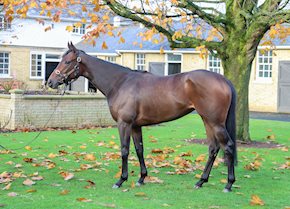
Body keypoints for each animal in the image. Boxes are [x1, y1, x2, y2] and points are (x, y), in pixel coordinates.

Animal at [47, 42, 237, 193]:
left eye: (67, 61)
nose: (50, 82)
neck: (120, 82)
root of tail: (223, 80)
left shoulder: (124, 124)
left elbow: (124, 150)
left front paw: (121, 180)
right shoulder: (136, 126)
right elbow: (139, 149)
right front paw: (141, 178)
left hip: (215, 123)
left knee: (227, 146)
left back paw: (228, 184)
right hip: (207, 120)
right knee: (213, 148)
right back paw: (201, 181)